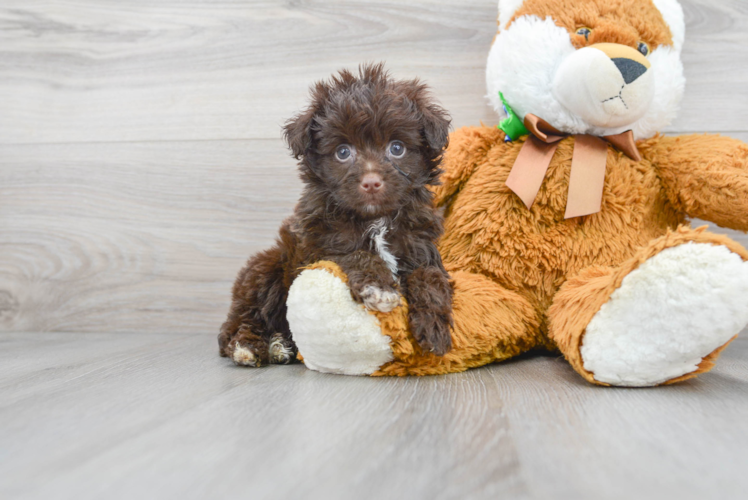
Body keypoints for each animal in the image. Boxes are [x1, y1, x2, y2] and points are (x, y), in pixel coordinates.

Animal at [216, 62, 450, 368]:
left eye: (397, 148)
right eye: (342, 152)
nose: (371, 182)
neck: (375, 219)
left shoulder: (420, 246)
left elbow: (430, 276)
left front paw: (434, 326)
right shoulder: (319, 248)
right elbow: (357, 254)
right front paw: (379, 288)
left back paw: (280, 345)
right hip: (266, 270)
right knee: (242, 321)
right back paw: (249, 346)